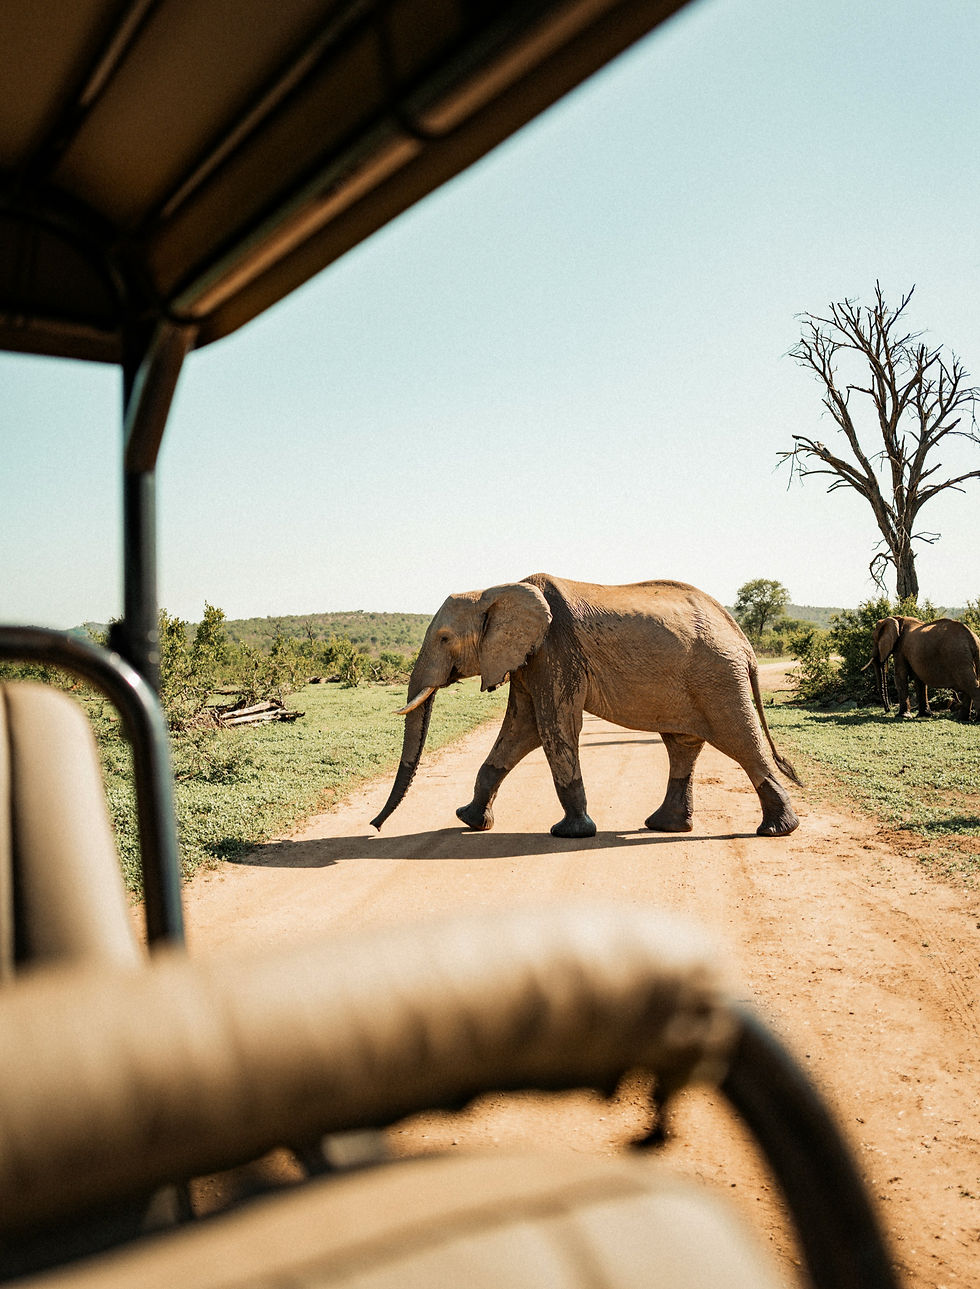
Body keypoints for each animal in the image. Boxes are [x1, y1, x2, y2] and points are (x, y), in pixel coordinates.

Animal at [370, 574, 801, 839]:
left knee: (740, 739)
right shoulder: (529, 658)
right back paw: (665, 826)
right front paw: (470, 820)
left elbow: (554, 726)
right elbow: (520, 730)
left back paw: (777, 831)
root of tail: (743, 641)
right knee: (682, 744)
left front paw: (570, 832)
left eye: (444, 638)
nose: (374, 826)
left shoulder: (554, 650)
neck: (494, 590)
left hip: (718, 677)